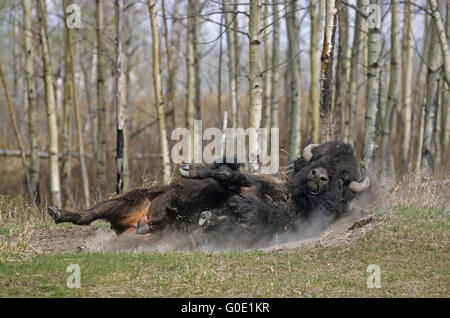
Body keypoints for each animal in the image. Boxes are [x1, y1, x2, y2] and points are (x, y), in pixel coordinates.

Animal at [46, 141, 372, 248]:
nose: (319, 177)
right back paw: (58, 212)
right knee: (90, 214)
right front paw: (191, 170)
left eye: (344, 178)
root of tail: (140, 225)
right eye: (318, 158)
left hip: (147, 235)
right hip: (130, 199)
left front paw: (211, 216)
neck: (292, 197)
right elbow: (231, 175)